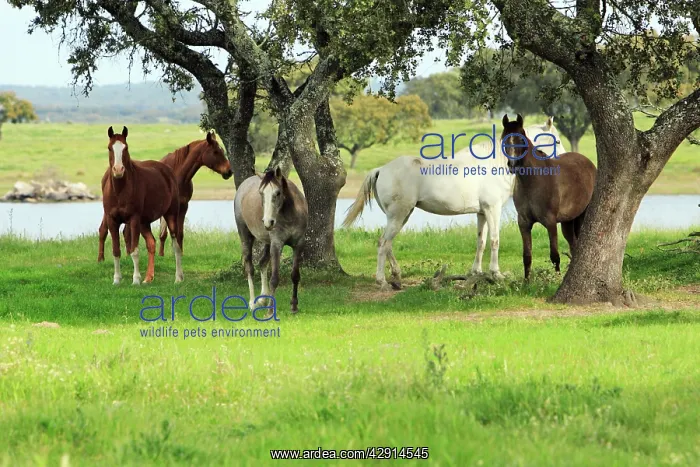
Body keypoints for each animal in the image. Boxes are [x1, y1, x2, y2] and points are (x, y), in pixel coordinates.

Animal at [97, 131, 232, 262]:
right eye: (216, 152)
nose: (229, 171)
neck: (178, 174)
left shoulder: (183, 207)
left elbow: (179, 233)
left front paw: (179, 253)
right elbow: (163, 234)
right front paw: (161, 255)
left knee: (125, 232)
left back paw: (126, 255)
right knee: (104, 230)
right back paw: (101, 259)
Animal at [101, 126, 183, 285]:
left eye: (126, 147)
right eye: (109, 148)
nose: (118, 170)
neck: (120, 191)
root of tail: (167, 170)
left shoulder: (133, 219)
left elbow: (134, 251)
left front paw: (136, 280)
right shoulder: (112, 220)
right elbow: (116, 251)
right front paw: (117, 280)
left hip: (170, 214)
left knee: (176, 244)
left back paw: (178, 278)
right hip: (144, 222)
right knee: (151, 243)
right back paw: (148, 278)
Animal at [233, 168, 308, 315]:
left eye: (278, 193)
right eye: (261, 193)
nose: (268, 222)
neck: (290, 214)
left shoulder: (299, 244)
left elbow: (295, 275)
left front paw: (294, 306)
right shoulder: (277, 245)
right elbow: (274, 279)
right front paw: (270, 311)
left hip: (267, 243)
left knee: (262, 263)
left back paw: (262, 299)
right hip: (245, 236)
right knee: (249, 268)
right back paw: (252, 303)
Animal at [342, 118, 567, 291]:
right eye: (556, 139)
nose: (564, 158)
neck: (496, 163)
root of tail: (381, 169)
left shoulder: (482, 213)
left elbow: (481, 241)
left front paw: (476, 271)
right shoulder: (493, 210)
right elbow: (494, 240)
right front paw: (496, 274)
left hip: (401, 215)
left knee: (388, 244)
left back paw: (396, 278)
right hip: (399, 215)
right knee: (383, 243)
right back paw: (382, 282)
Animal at [500, 114, 596, 280]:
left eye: (521, 139)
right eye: (505, 139)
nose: (512, 164)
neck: (533, 181)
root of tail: (589, 163)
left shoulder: (550, 222)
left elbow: (554, 255)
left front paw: (556, 279)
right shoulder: (523, 223)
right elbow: (527, 256)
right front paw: (526, 282)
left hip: (582, 216)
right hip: (567, 222)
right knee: (573, 245)